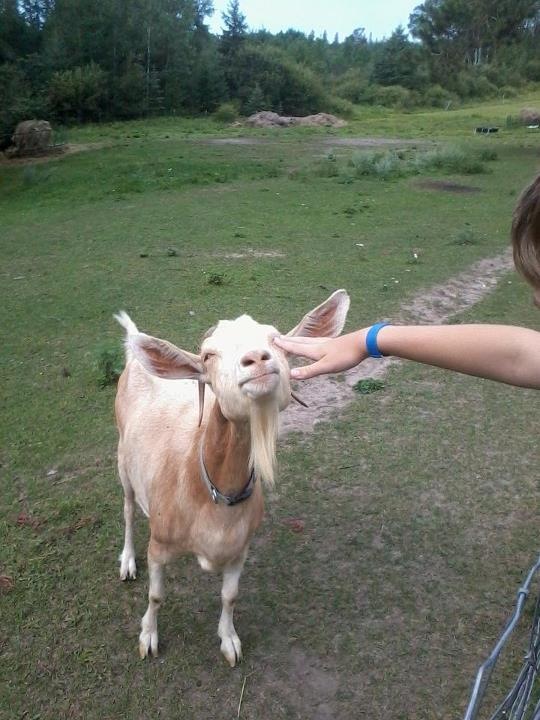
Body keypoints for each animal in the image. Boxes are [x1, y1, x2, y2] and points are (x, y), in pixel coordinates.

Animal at [114, 289, 350, 665]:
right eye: (208, 355)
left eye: (276, 339)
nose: (256, 358)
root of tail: (135, 360)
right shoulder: (159, 544)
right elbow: (156, 596)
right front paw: (148, 636)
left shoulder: (241, 549)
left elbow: (230, 596)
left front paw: (230, 641)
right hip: (123, 459)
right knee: (126, 507)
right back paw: (127, 562)